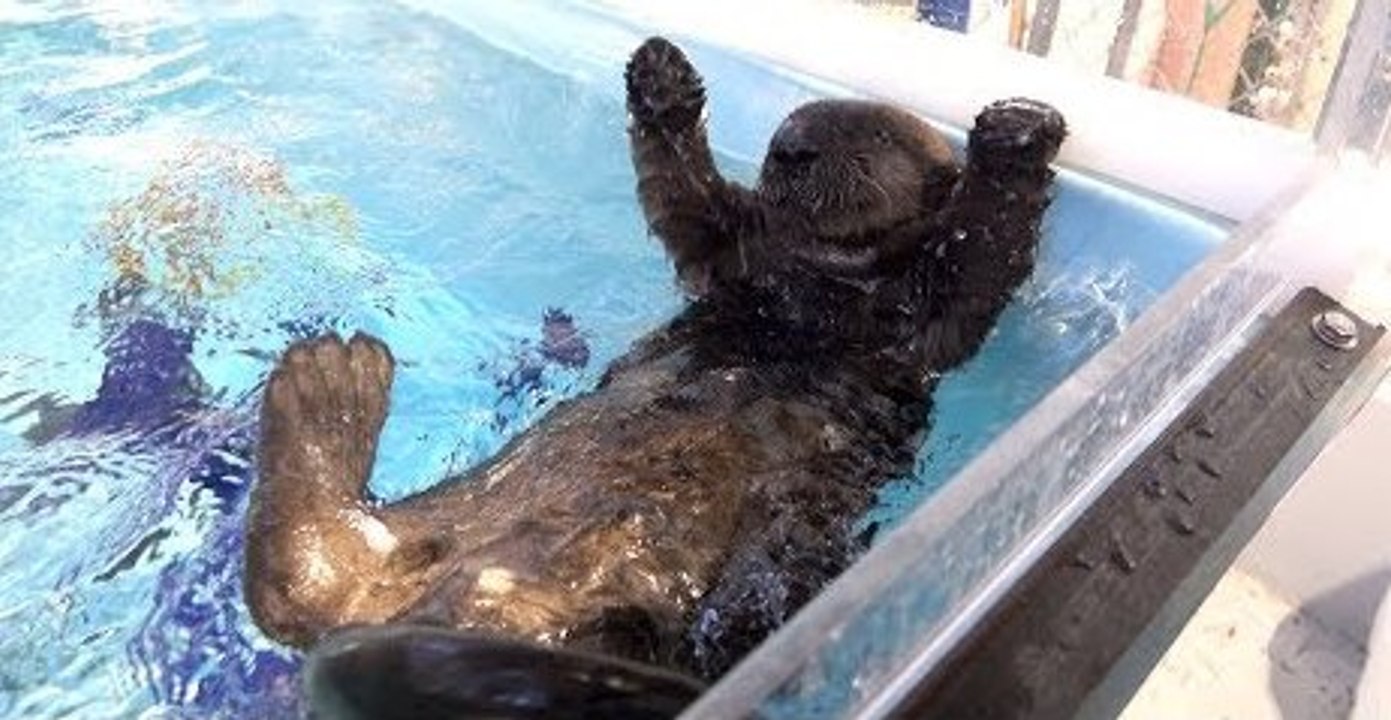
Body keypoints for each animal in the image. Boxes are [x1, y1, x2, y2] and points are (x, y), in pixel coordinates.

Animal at [245, 37, 1066, 714]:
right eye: (788, 124)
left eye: (879, 136)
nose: (789, 146)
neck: (820, 277)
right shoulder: (730, 248)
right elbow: (686, 196)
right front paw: (660, 77)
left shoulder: (928, 314)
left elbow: (981, 251)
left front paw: (1018, 133)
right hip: (440, 518)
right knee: (307, 592)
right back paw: (328, 392)